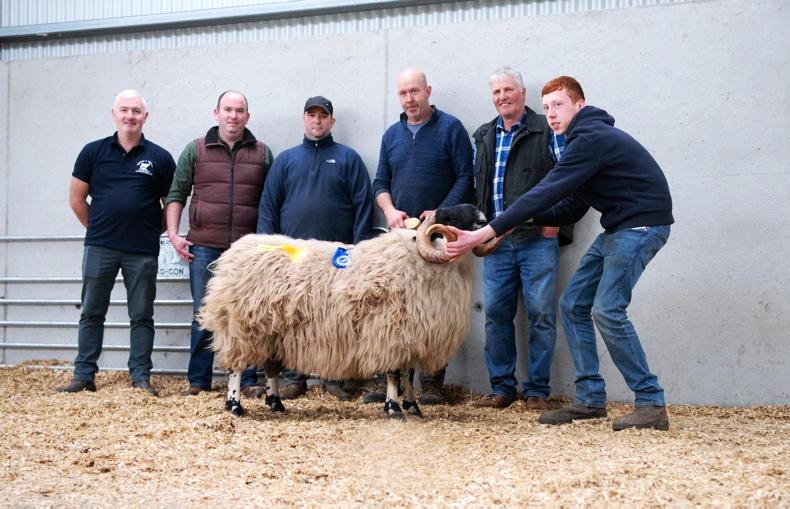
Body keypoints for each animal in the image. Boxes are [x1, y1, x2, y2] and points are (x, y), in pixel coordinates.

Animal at [198, 204, 500, 418]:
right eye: (449, 217)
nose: (484, 221)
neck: (423, 259)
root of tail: (231, 255)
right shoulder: (390, 331)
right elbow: (394, 373)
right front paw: (393, 408)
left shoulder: (411, 333)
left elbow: (407, 372)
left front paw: (413, 406)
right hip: (242, 327)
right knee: (236, 367)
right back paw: (235, 406)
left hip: (271, 331)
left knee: (271, 367)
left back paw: (276, 403)